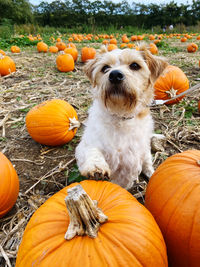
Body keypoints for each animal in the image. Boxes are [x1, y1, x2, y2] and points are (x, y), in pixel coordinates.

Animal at [75, 45, 167, 191]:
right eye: (105, 68)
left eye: (135, 65)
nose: (115, 75)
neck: (120, 116)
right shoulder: (86, 144)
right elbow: (92, 151)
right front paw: (96, 167)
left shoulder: (132, 157)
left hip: (146, 152)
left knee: (147, 165)